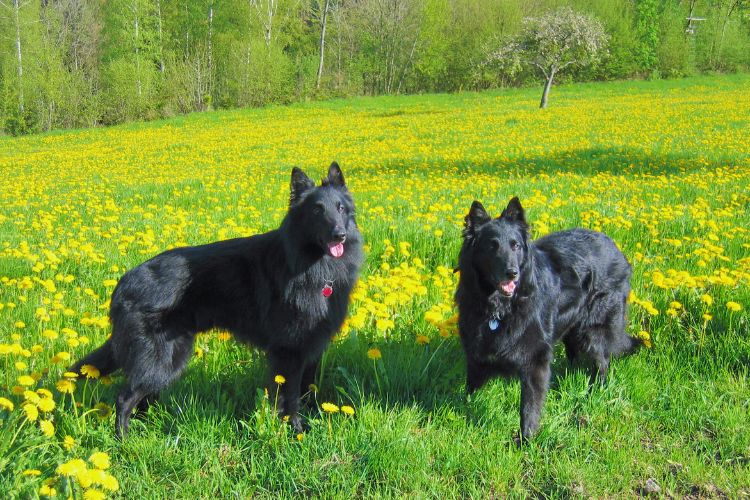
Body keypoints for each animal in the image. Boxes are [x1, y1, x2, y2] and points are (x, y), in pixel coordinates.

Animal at [71, 162, 364, 436]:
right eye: (317, 210)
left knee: (143, 398)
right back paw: (124, 441)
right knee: (125, 398)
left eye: (340, 208)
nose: (340, 234)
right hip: (161, 357)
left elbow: (307, 390)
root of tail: (124, 281)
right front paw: (296, 430)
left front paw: (311, 421)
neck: (313, 266)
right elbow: (290, 397)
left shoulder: (312, 346)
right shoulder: (288, 352)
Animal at [456, 197, 644, 440]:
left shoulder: (535, 359)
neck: (500, 307)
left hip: (593, 330)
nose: (512, 273)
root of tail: (614, 246)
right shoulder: (476, 349)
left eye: (515, 245)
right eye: (492, 246)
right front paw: (463, 410)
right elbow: (471, 387)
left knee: (602, 362)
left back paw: (595, 391)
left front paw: (526, 439)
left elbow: (529, 407)